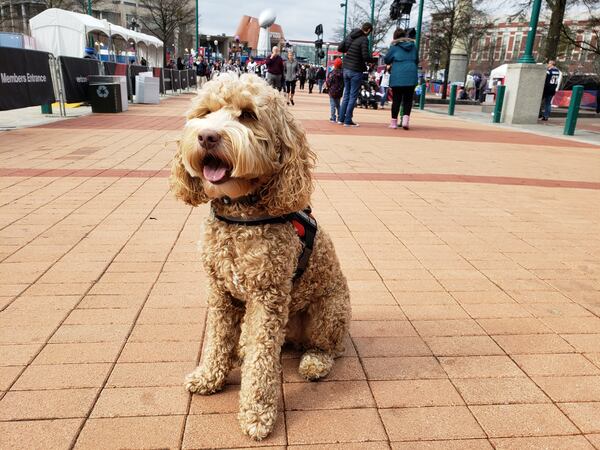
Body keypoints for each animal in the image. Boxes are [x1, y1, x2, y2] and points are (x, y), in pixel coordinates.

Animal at [169, 73, 352, 440]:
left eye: (248, 115)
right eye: (205, 112)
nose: (207, 136)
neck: (240, 215)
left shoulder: (267, 297)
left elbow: (261, 361)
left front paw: (257, 413)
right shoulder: (220, 292)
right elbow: (216, 338)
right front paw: (209, 375)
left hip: (328, 311)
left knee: (329, 347)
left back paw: (315, 362)